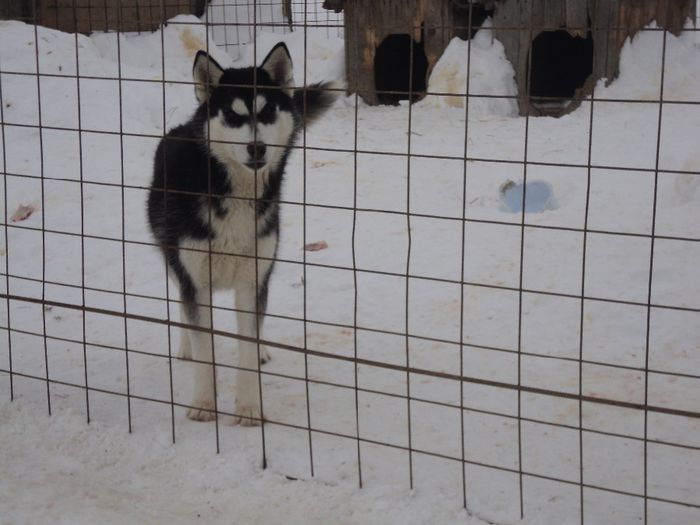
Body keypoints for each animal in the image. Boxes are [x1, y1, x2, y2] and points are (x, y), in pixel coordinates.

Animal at [146, 43, 334, 424]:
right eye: (233, 116)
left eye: (267, 111)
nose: (257, 147)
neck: (231, 191)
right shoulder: (195, 279)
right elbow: (204, 350)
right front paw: (204, 404)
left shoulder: (253, 279)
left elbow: (247, 344)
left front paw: (249, 407)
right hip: (174, 260)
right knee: (181, 303)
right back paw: (185, 346)